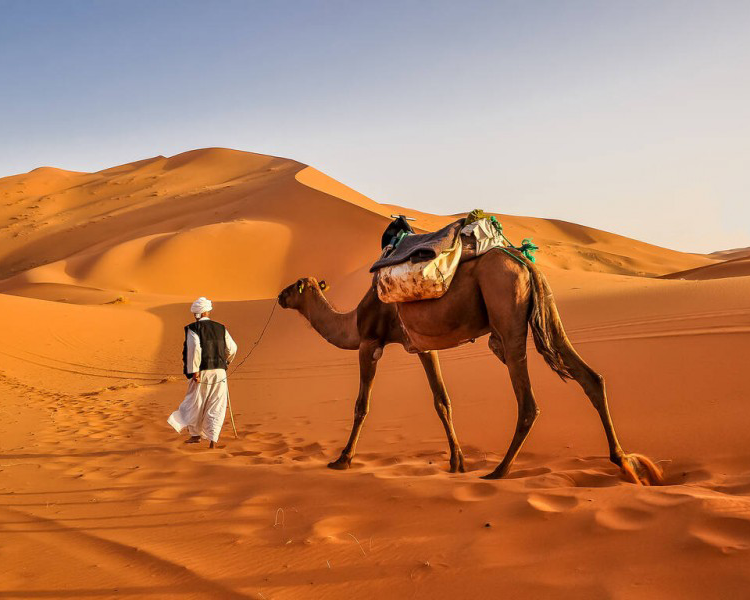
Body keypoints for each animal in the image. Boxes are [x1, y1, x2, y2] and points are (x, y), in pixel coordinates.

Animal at [280, 246, 664, 486]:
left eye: (297, 285)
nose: (280, 296)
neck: (353, 320)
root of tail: (525, 264)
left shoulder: (370, 342)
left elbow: (362, 405)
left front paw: (342, 460)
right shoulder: (423, 347)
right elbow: (442, 401)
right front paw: (456, 462)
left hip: (507, 316)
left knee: (528, 402)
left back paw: (499, 471)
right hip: (547, 313)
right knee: (591, 378)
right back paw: (626, 463)